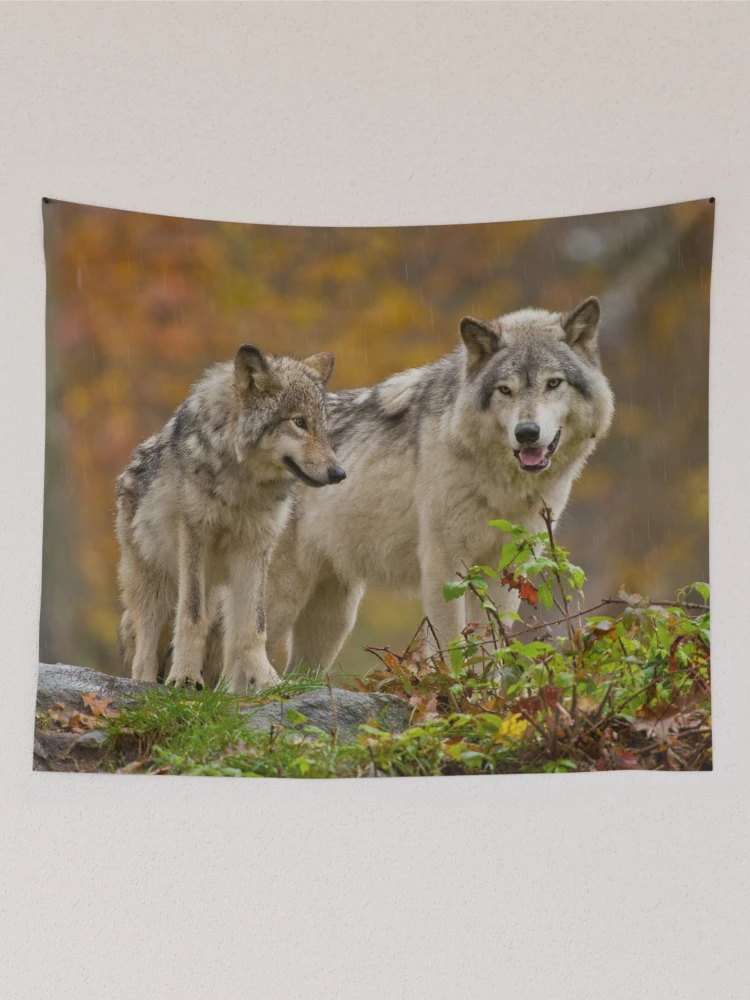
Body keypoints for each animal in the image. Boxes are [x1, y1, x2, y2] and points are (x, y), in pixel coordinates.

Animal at [115, 344, 345, 693]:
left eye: (321, 427)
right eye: (299, 422)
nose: (339, 473)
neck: (243, 486)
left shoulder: (256, 546)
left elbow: (254, 626)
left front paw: (267, 681)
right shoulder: (195, 535)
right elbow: (192, 616)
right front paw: (184, 677)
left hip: (214, 592)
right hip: (156, 586)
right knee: (145, 655)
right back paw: (150, 683)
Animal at [265, 297, 614, 672]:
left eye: (553, 383)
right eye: (506, 389)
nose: (527, 433)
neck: (501, 485)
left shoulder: (507, 568)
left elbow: (492, 646)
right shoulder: (443, 564)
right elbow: (453, 644)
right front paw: (456, 683)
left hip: (333, 620)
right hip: (281, 600)